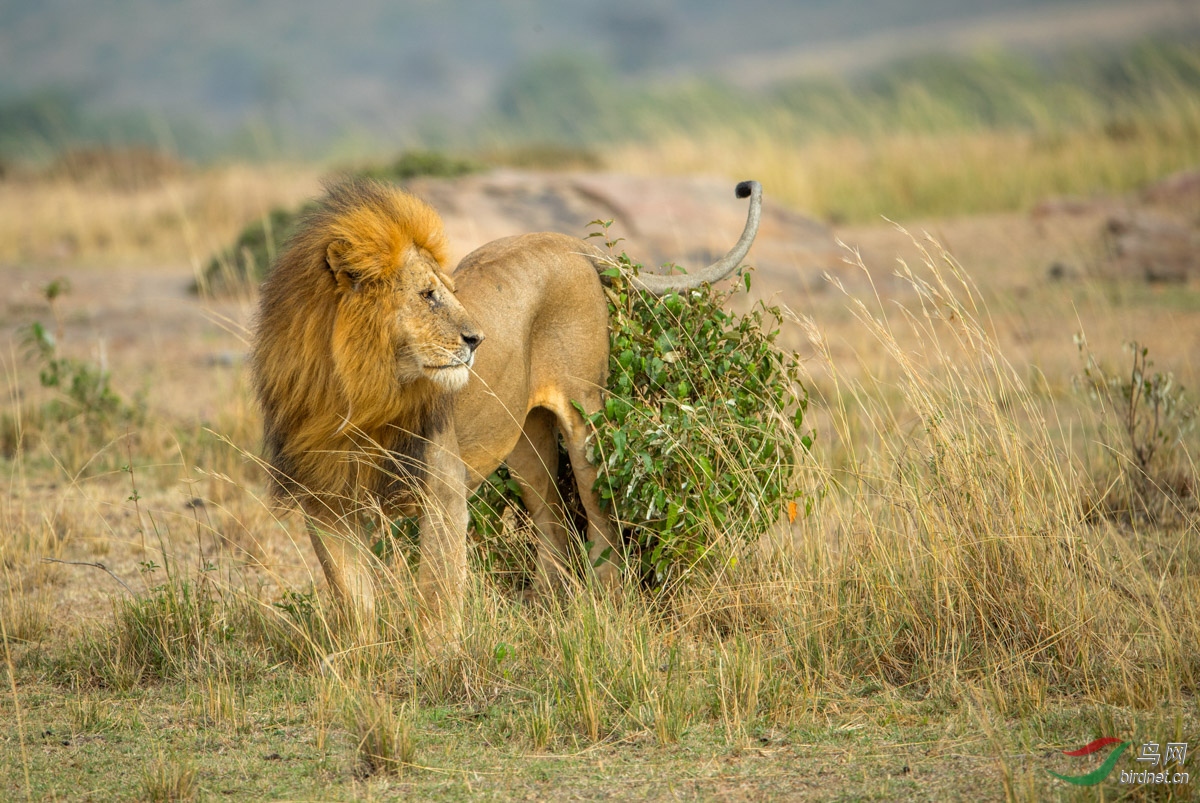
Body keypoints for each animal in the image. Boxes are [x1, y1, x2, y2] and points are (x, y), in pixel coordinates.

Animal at [249, 176, 763, 638]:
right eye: (427, 295)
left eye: (448, 290)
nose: (476, 339)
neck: (359, 395)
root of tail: (566, 242)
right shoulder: (325, 501)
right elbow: (351, 599)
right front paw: (361, 659)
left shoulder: (442, 491)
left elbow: (437, 594)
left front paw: (438, 661)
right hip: (526, 446)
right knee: (553, 523)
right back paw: (542, 606)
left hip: (586, 422)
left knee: (601, 522)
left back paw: (605, 605)